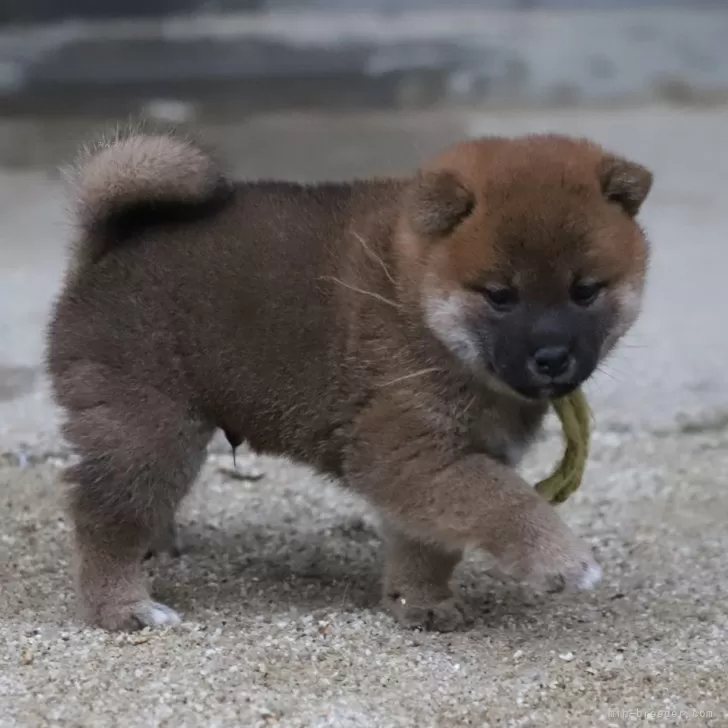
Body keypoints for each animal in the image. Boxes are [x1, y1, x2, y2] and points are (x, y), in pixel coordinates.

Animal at [45, 131, 652, 632]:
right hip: (149, 431)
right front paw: (563, 560)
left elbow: (430, 542)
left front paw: (421, 603)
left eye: (585, 291)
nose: (552, 357)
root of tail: (104, 252)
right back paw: (124, 607)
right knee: (103, 518)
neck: (412, 295)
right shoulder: (409, 452)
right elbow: (502, 501)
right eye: (501, 296)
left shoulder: (437, 464)